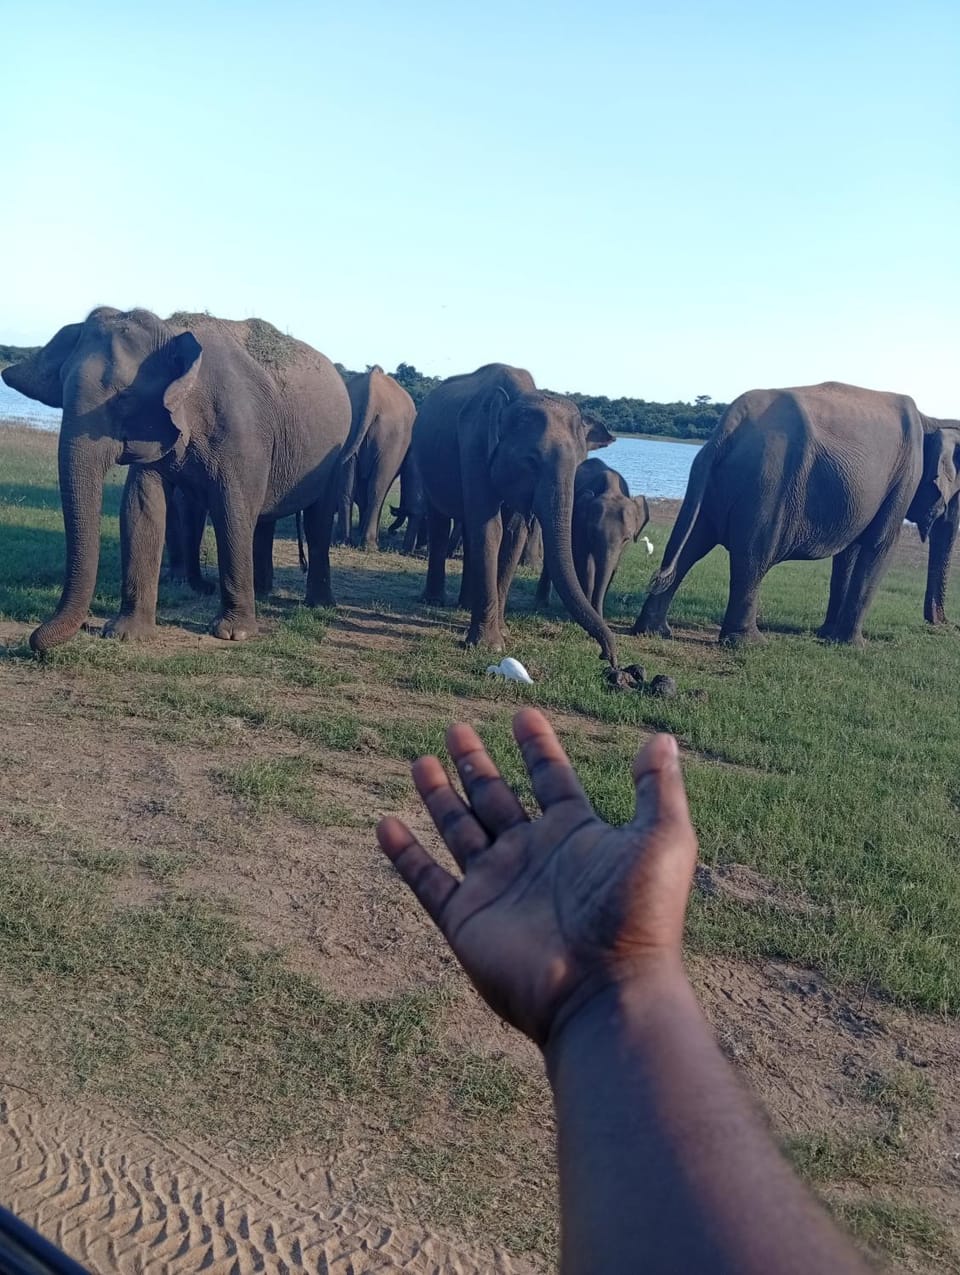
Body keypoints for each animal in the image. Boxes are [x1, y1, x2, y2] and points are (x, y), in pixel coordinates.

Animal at [2, 307, 353, 652]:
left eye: (123, 397)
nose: (34, 641)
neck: (170, 334)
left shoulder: (242, 432)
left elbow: (233, 510)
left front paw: (232, 634)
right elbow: (141, 508)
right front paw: (125, 634)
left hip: (335, 453)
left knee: (318, 520)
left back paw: (318, 605)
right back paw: (263, 592)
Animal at [336, 367, 416, 550]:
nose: (392, 532)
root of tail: (371, 395)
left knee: (347, 487)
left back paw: (344, 542)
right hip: (393, 437)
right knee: (378, 487)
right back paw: (370, 545)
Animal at [413, 363, 617, 661]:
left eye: (579, 463)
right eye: (531, 461)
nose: (607, 656)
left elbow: (513, 534)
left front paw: (503, 633)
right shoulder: (473, 446)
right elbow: (490, 529)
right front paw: (489, 645)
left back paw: (465, 605)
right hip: (426, 465)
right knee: (440, 520)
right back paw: (435, 599)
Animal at [536, 458, 649, 617]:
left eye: (626, 539)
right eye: (593, 533)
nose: (600, 615)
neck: (612, 490)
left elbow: (613, 567)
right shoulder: (580, 525)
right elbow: (587, 564)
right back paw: (541, 604)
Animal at [632, 381, 960, 646]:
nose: (944, 624)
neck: (932, 419)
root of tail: (728, 426)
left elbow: (849, 552)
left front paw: (828, 635)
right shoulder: (905, 476)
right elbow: (880, 544)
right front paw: (852, 646)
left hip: (713, 481)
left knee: (690, 545)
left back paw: (654, 631)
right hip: (767, 483)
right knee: (753, 556)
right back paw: (750, 644)